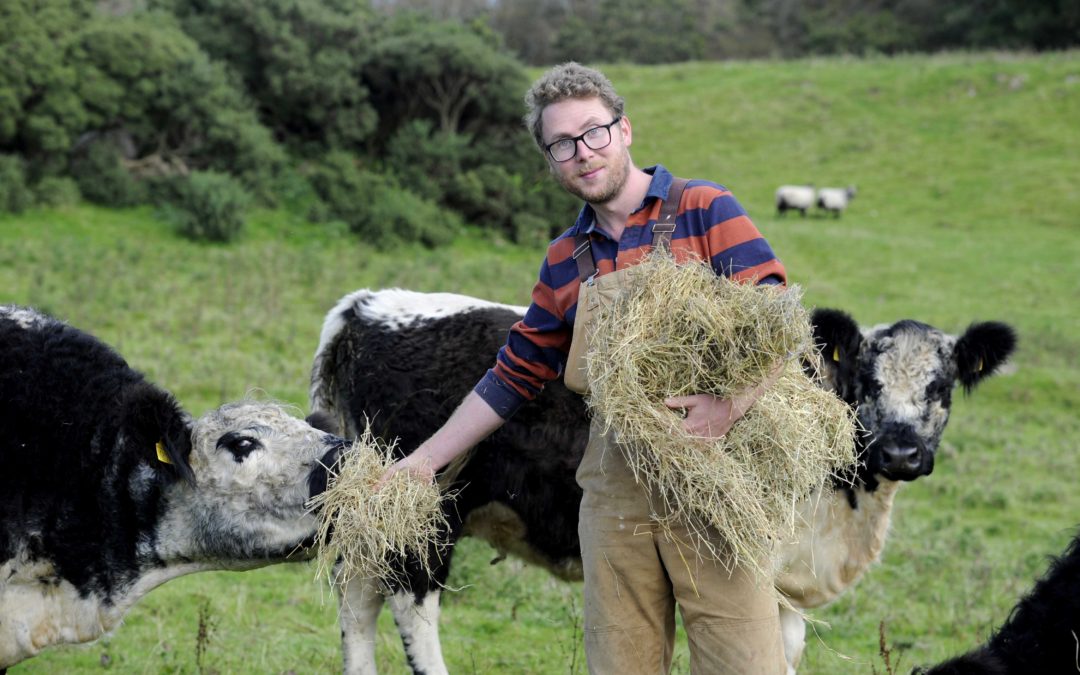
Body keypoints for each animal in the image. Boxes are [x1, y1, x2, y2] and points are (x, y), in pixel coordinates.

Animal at [308, 287, 1015, 669]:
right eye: (867, 379)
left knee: (356, 597)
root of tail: (370, 306)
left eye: (941, 386)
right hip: (429, 514)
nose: (901, 452)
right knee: (410, 603)